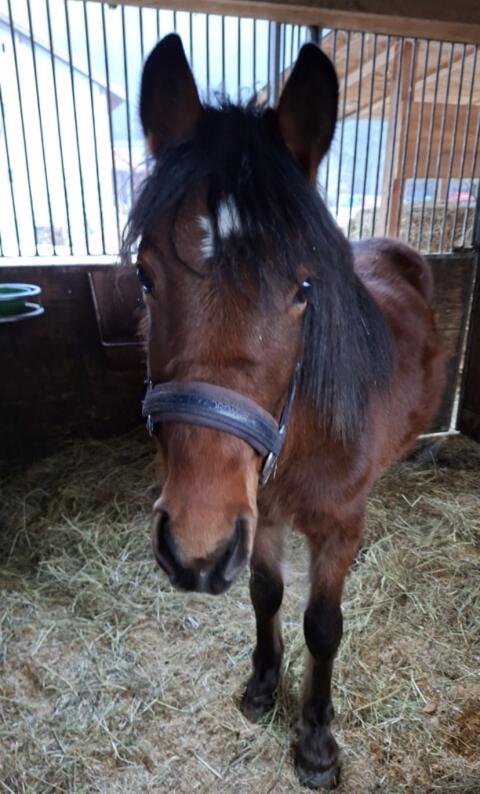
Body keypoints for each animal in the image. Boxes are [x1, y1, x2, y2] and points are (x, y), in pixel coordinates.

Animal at [121, 34, 445, 789]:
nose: (194, 549)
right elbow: (265, 595)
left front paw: (316, 741)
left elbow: (322, 625)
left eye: (303, 288)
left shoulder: (337, 527)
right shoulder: (258, 517)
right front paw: (264, 686)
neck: (304, 437)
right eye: (145, 275)